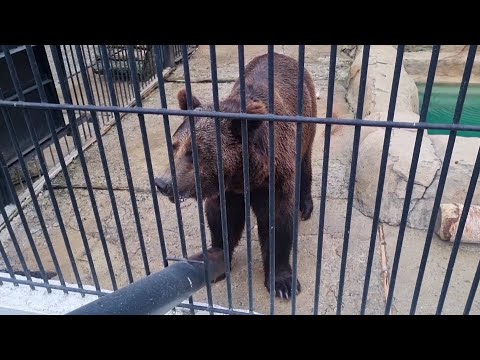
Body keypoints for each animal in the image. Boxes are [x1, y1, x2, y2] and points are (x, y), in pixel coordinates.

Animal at [156, 50, 316, 298]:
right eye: (174, 146)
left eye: (195, 153)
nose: (163, 183)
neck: (243, 176)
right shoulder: (227, 191)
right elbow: (222, 220)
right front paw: (217, 261)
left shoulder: (274, 178)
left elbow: (278, 223)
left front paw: (282, 281)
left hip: (307, 121)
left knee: (305, 161)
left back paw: (305, 206)